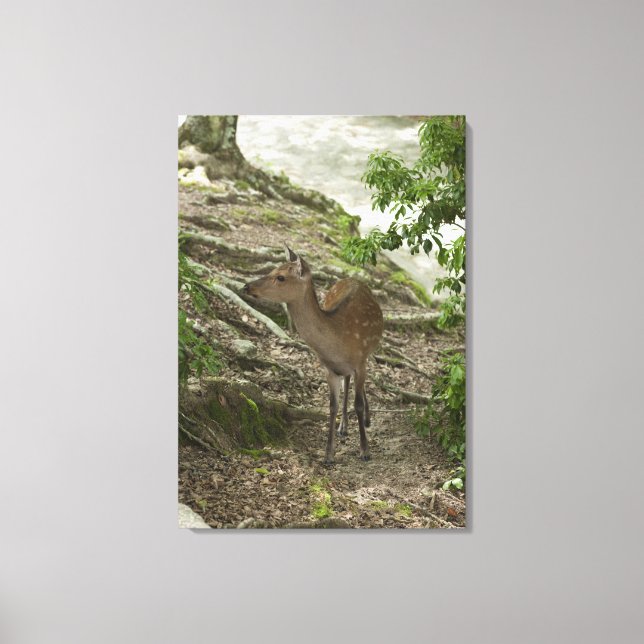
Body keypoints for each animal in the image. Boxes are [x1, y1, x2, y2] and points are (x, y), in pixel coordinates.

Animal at [242, 246, 384, 464]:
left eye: (281, 277)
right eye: (273, 269)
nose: (247, 286)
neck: (339, 340)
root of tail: (353, 278)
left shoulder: (360, 361)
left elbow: (358, 404)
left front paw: (365, 451)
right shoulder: (329, 369)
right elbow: (332, 406)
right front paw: (328, 455)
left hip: (367, 355)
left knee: (356, 385)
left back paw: (365, 420)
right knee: (347, 381)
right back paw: (343, 427)